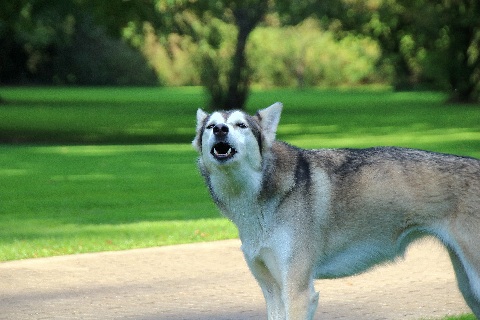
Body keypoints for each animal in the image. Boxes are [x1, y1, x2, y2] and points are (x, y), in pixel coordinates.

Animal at [193, 103, 480, 320]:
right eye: (210, 126)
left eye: (240, 125)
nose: (220, 129)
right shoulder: (273, 293)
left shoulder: (298, 293)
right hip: (468, 288)